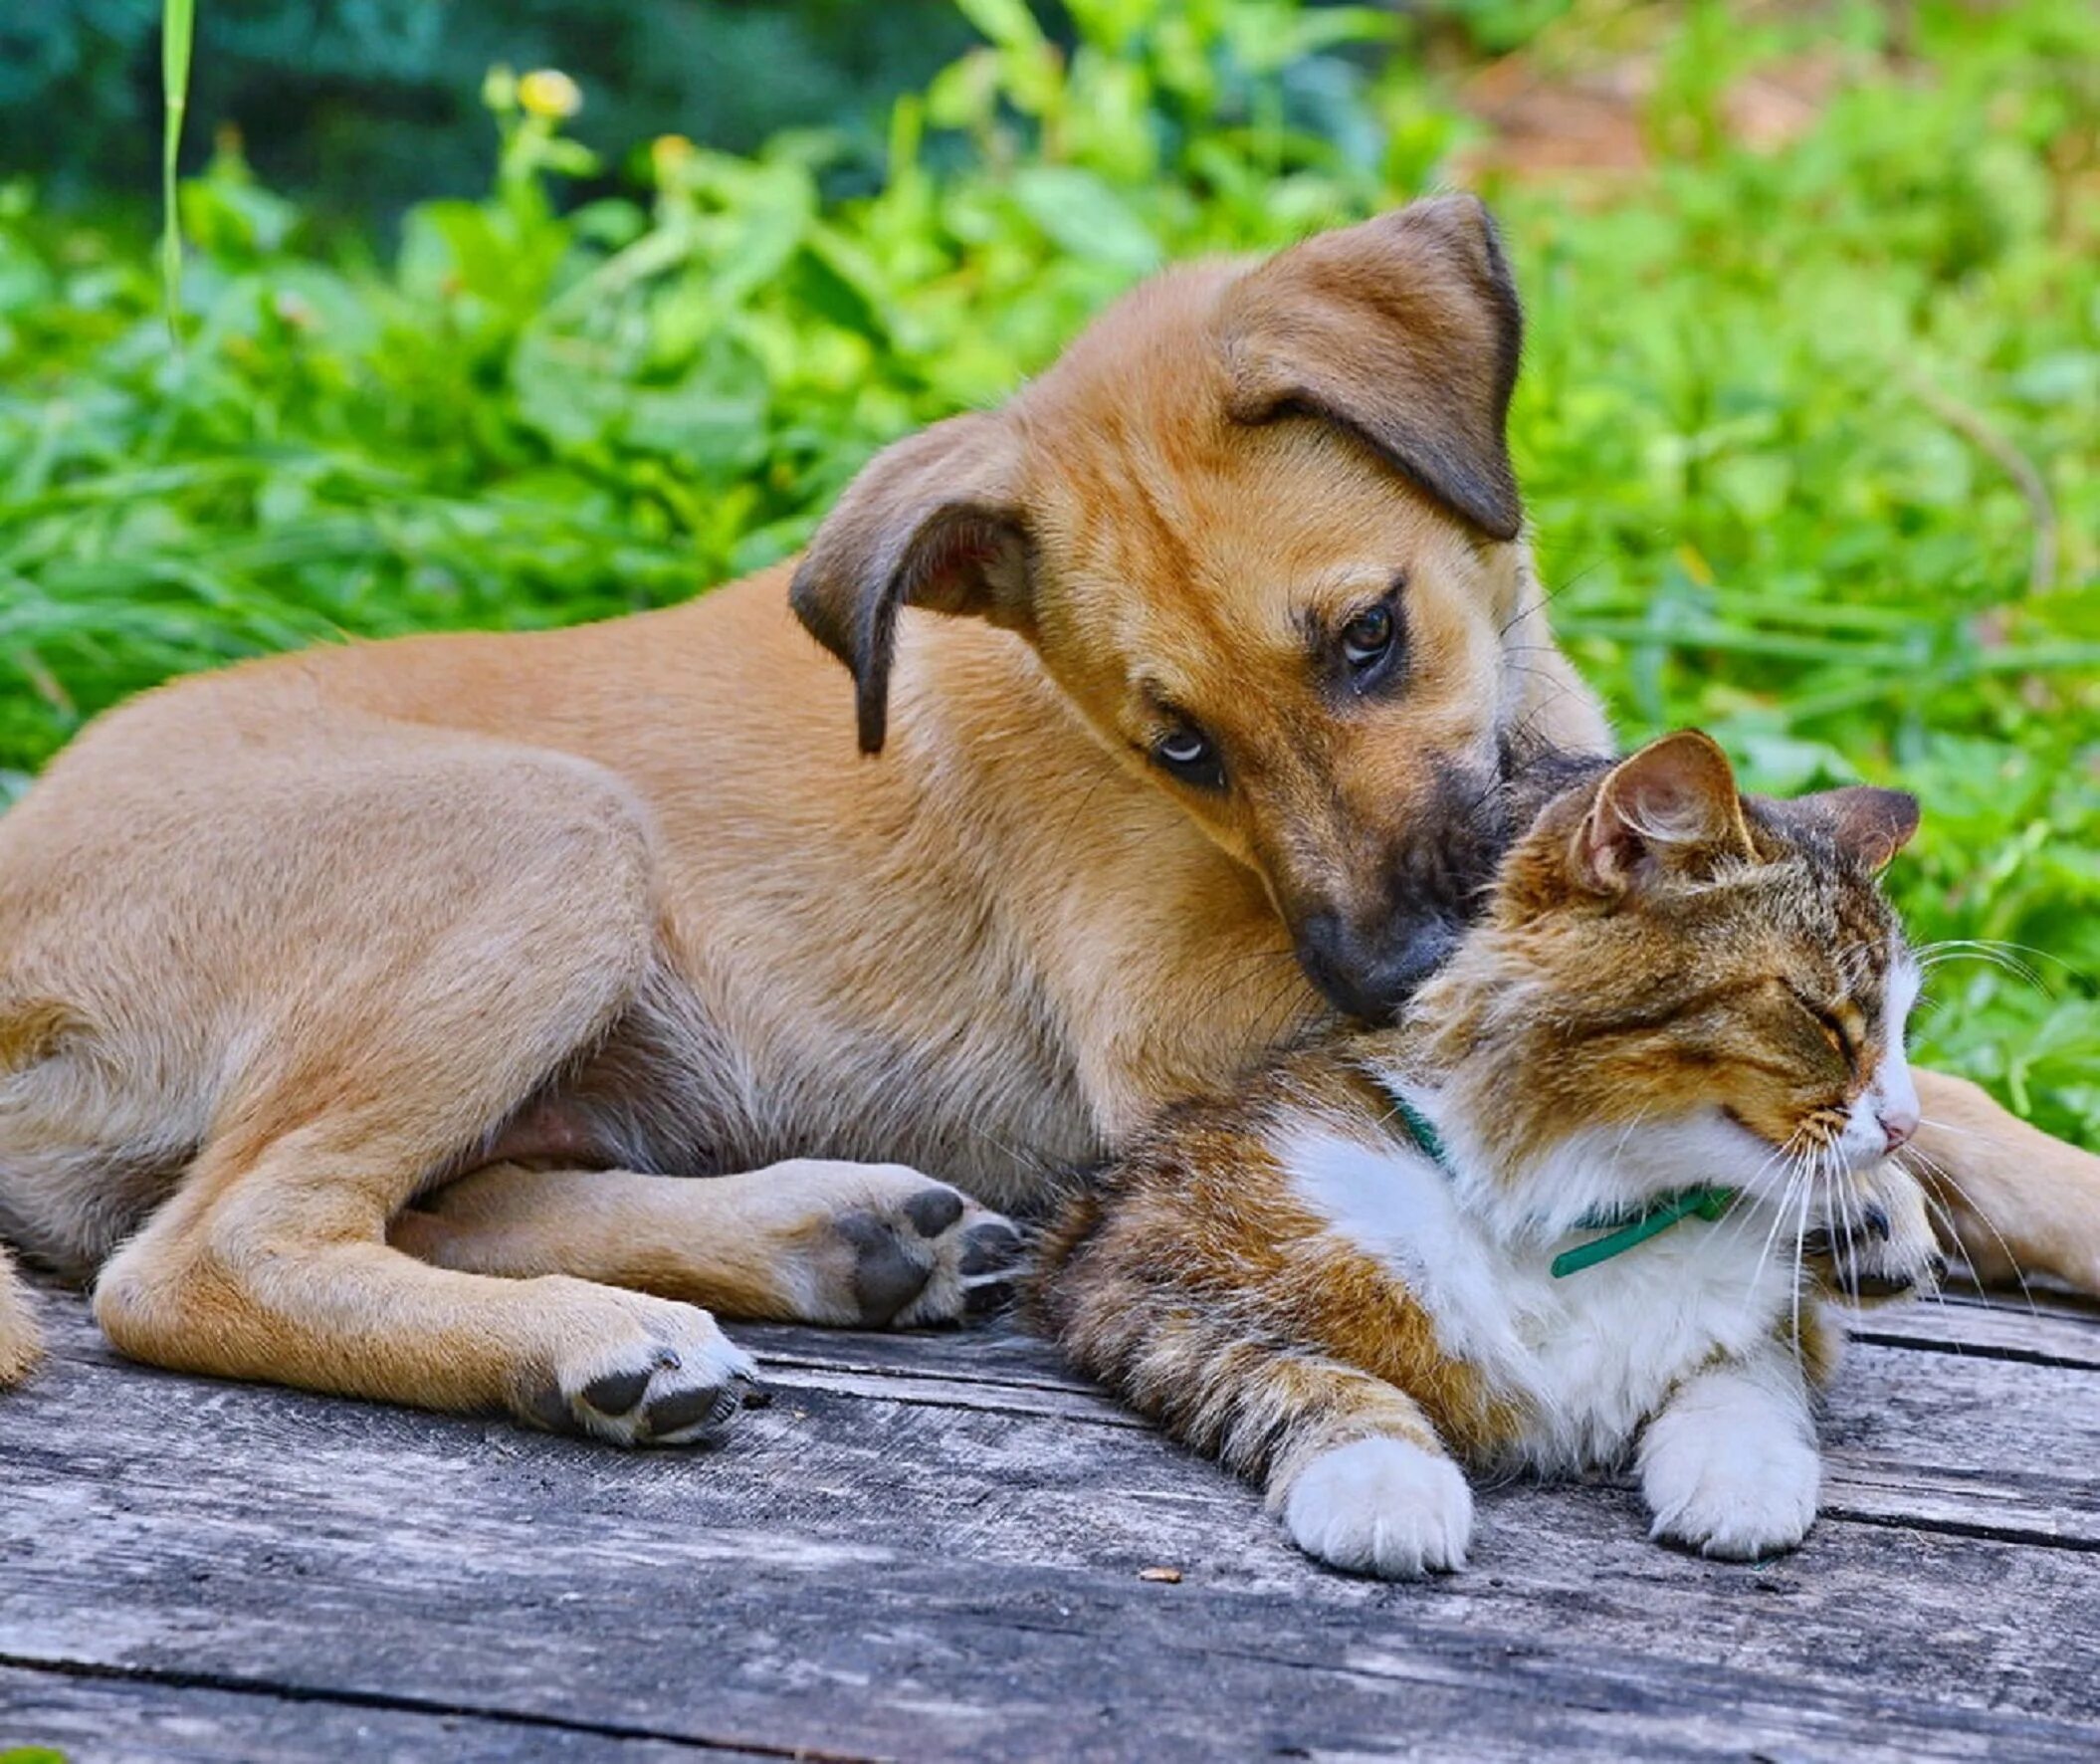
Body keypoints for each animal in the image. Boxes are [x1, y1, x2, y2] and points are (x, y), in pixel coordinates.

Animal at [4, 196, 2100, 1435]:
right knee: (190, 1259)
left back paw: (836, 1241)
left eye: (1370, 636)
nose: (1390, 967)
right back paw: (601, 1342)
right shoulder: (1182, 1025)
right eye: (1175, 750)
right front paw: (1854, 1179)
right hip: (548, 834)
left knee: (424, 1194)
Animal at [1024, 722, 1940, 1579]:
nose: (1906, 1124)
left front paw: (1740, 1474)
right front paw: (1383, 1480)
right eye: (1823, 1017)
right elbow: (1298, 1376)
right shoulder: (1124, 1270)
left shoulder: (1775, 1321)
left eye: (1902, 1027)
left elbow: (1750, 1371)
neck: (1577, 1216)